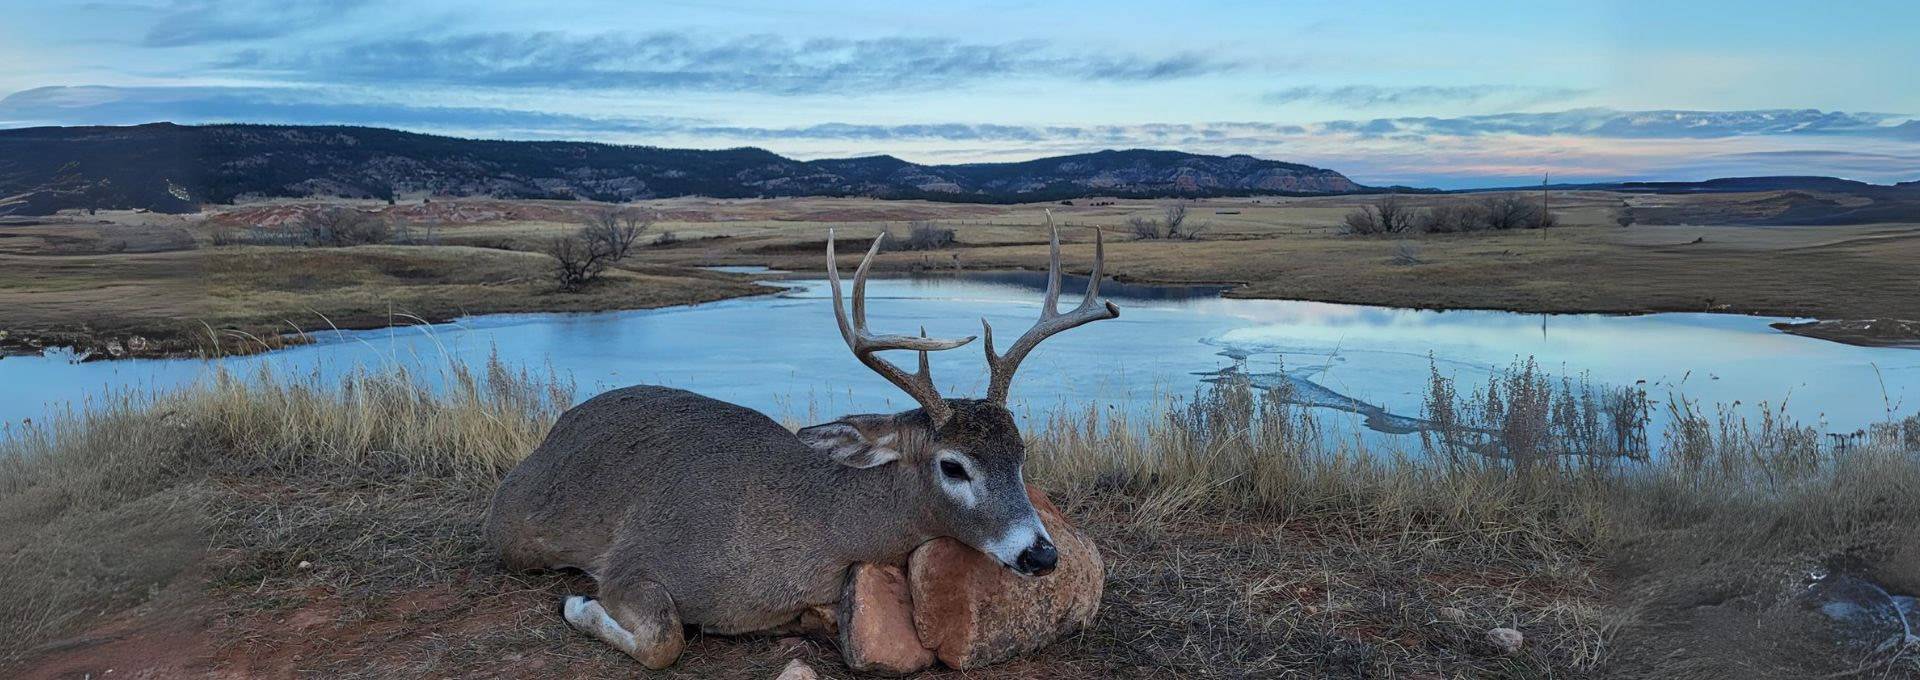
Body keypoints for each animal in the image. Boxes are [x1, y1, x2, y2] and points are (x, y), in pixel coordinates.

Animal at [484, 217, 1118, 668]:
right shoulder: (633, 561)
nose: (1042, 554)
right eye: (953, 466)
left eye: (1021, 456)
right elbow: (665, 640)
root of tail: (557, 428)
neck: (817, 533)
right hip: (515, 538)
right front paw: (576, 604)